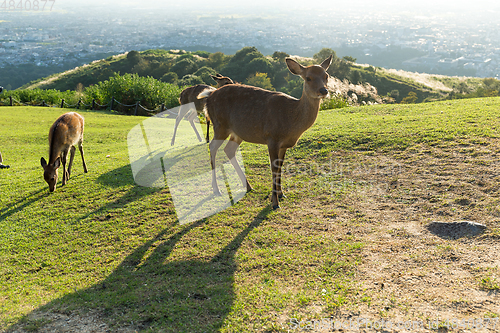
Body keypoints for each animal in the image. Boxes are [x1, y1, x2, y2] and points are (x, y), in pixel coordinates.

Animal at [199, 55, 332, 209]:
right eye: (308, 78)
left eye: (326, 75)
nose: (324, 90)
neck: (291, 120)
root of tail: (209, 96)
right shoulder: (272, 137)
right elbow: (273, 167)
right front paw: (274, 202)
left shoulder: (283, 145)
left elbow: (280, 166)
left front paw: (281, 194)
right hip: (220, 125)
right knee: (212, 146)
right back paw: (216, 189)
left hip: (238, 132)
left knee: (229, 149)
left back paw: (248, 186)